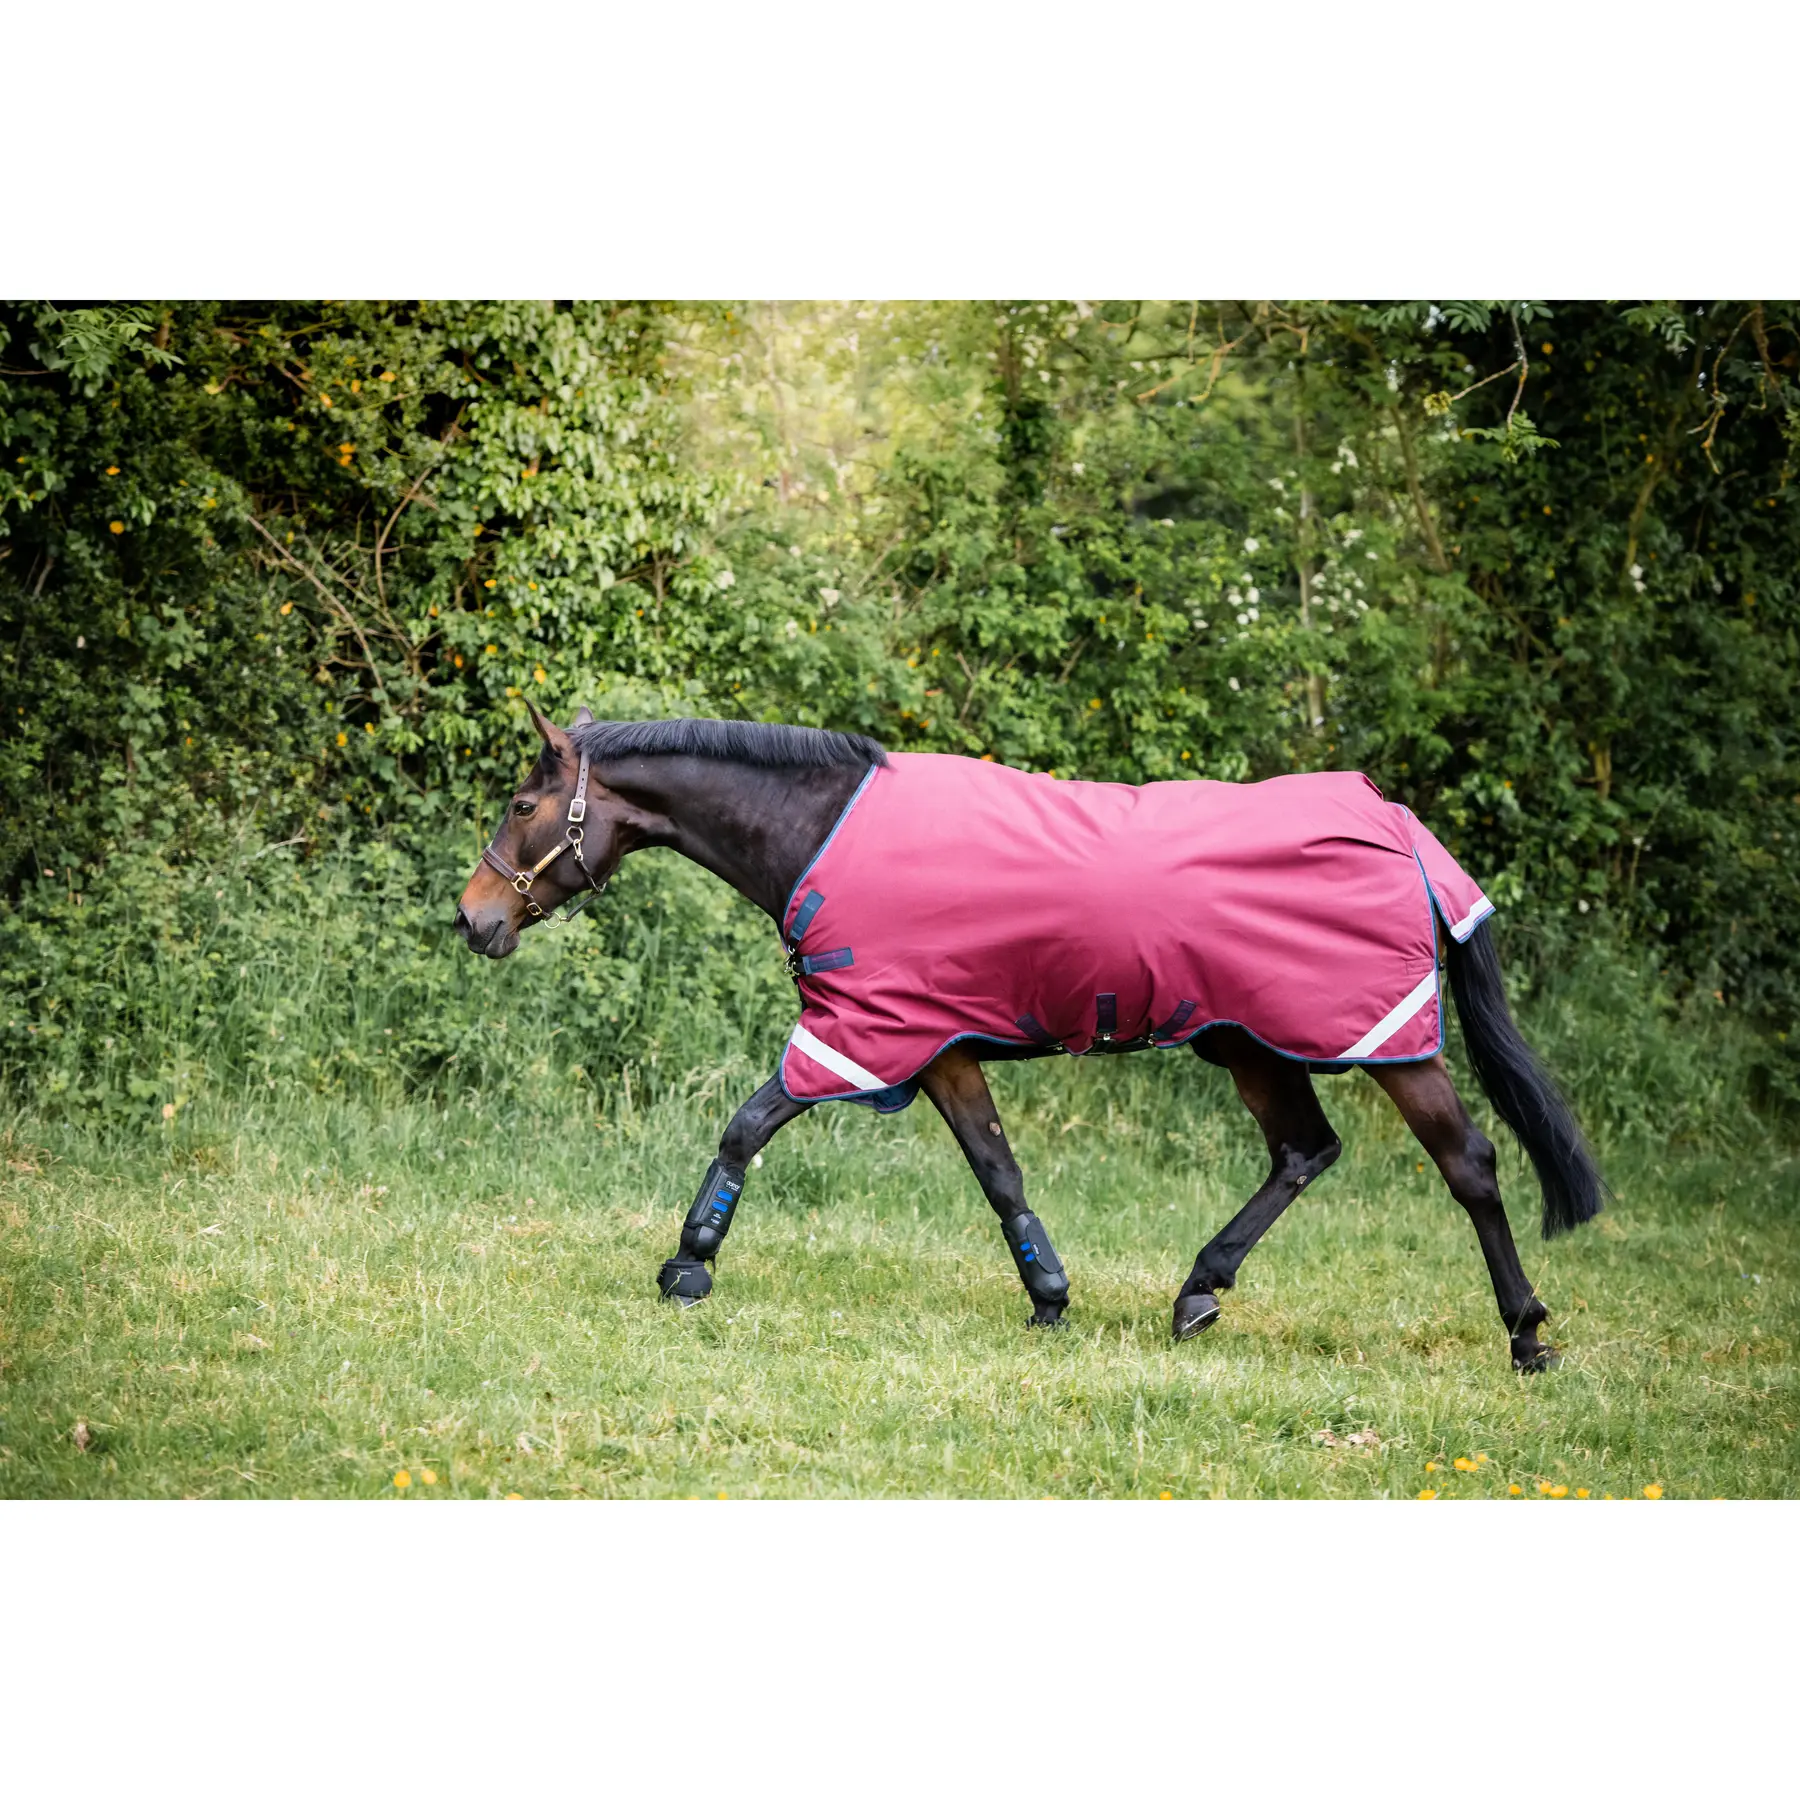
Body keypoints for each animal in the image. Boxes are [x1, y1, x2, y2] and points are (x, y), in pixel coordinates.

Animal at [455, 709, 1605, 1371]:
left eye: (521, 802)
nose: (473, 920)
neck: (819, 828)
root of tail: (1394, 822)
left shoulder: (861, 1029)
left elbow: (746, 1126)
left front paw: (688, 1265)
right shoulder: (939, 1044)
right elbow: (998, 1169)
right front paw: (1049, 1298)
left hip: (1386, 1045)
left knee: (1469, 1164)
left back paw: (1526, 1334)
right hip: (1247, 1042)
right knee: (1303, 1151)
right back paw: (1199, 1291)